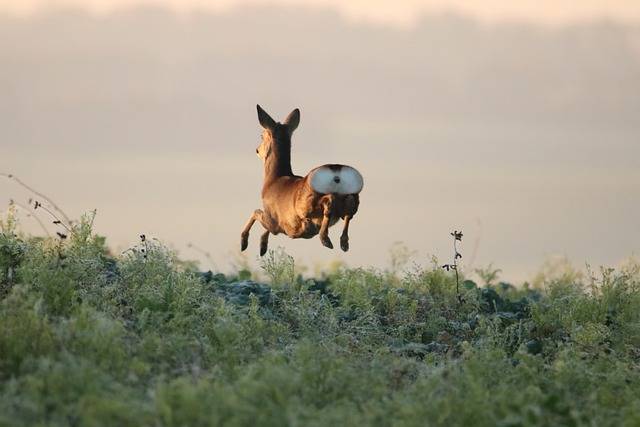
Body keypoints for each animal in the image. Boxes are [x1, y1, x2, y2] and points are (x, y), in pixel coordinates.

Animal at [240, 105, 362, 256]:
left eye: (262, 135)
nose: (257, 150)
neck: (272, 180)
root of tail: (336, 171)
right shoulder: (276, 223)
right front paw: (262, 247)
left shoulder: (274, 220)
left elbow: (255, 212)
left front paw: (245, 242)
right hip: (353, 195)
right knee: (349, 212)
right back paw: (343, 242)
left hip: (308, 201)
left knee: (329, 203)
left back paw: (325, 238)